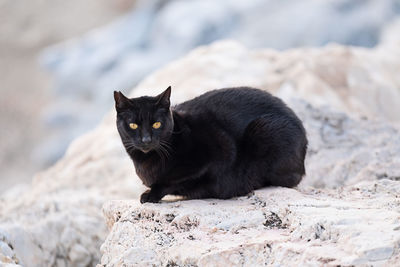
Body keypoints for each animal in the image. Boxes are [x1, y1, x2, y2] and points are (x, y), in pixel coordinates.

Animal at [114, 87, 308, 204]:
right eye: (133, 125)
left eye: (156, 124)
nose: (146, 140)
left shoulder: (221, 150)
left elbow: (171, 181)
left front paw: (150, 194)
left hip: (265, 130)